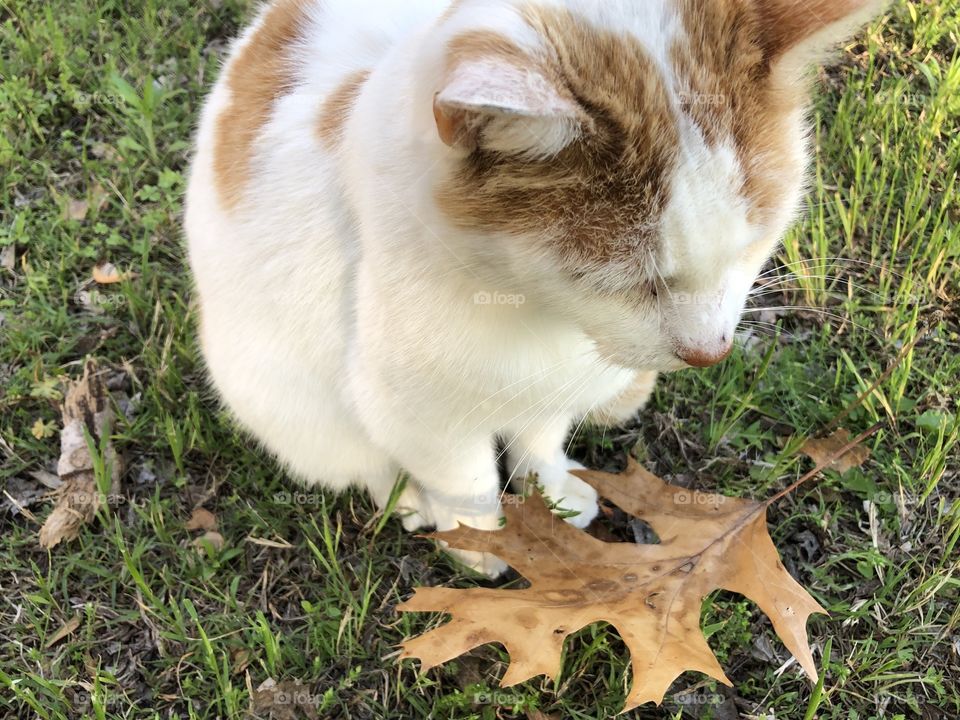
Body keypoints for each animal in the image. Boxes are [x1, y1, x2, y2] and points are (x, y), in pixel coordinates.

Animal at [186, 0, 884, 572]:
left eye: (749, 246)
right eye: (626, 278)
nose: (709, 352)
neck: (540, 317)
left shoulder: (548, 389)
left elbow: (540, 438)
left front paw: (550, 495)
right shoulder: (417, 410)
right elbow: (463, 477)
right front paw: (479, 541)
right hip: (280, 396)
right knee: (355, 458)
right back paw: (406, 500)